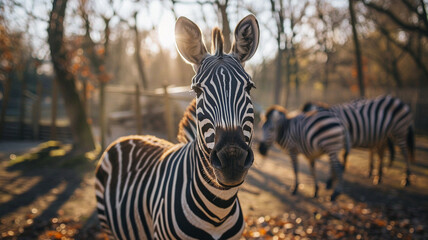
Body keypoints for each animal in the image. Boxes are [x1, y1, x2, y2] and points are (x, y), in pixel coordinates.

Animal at [95, 15, 260, 240]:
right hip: (107, 225)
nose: (232, 159)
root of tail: (127, 137)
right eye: (197, 90)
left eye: (249, 87)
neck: (219, 211)